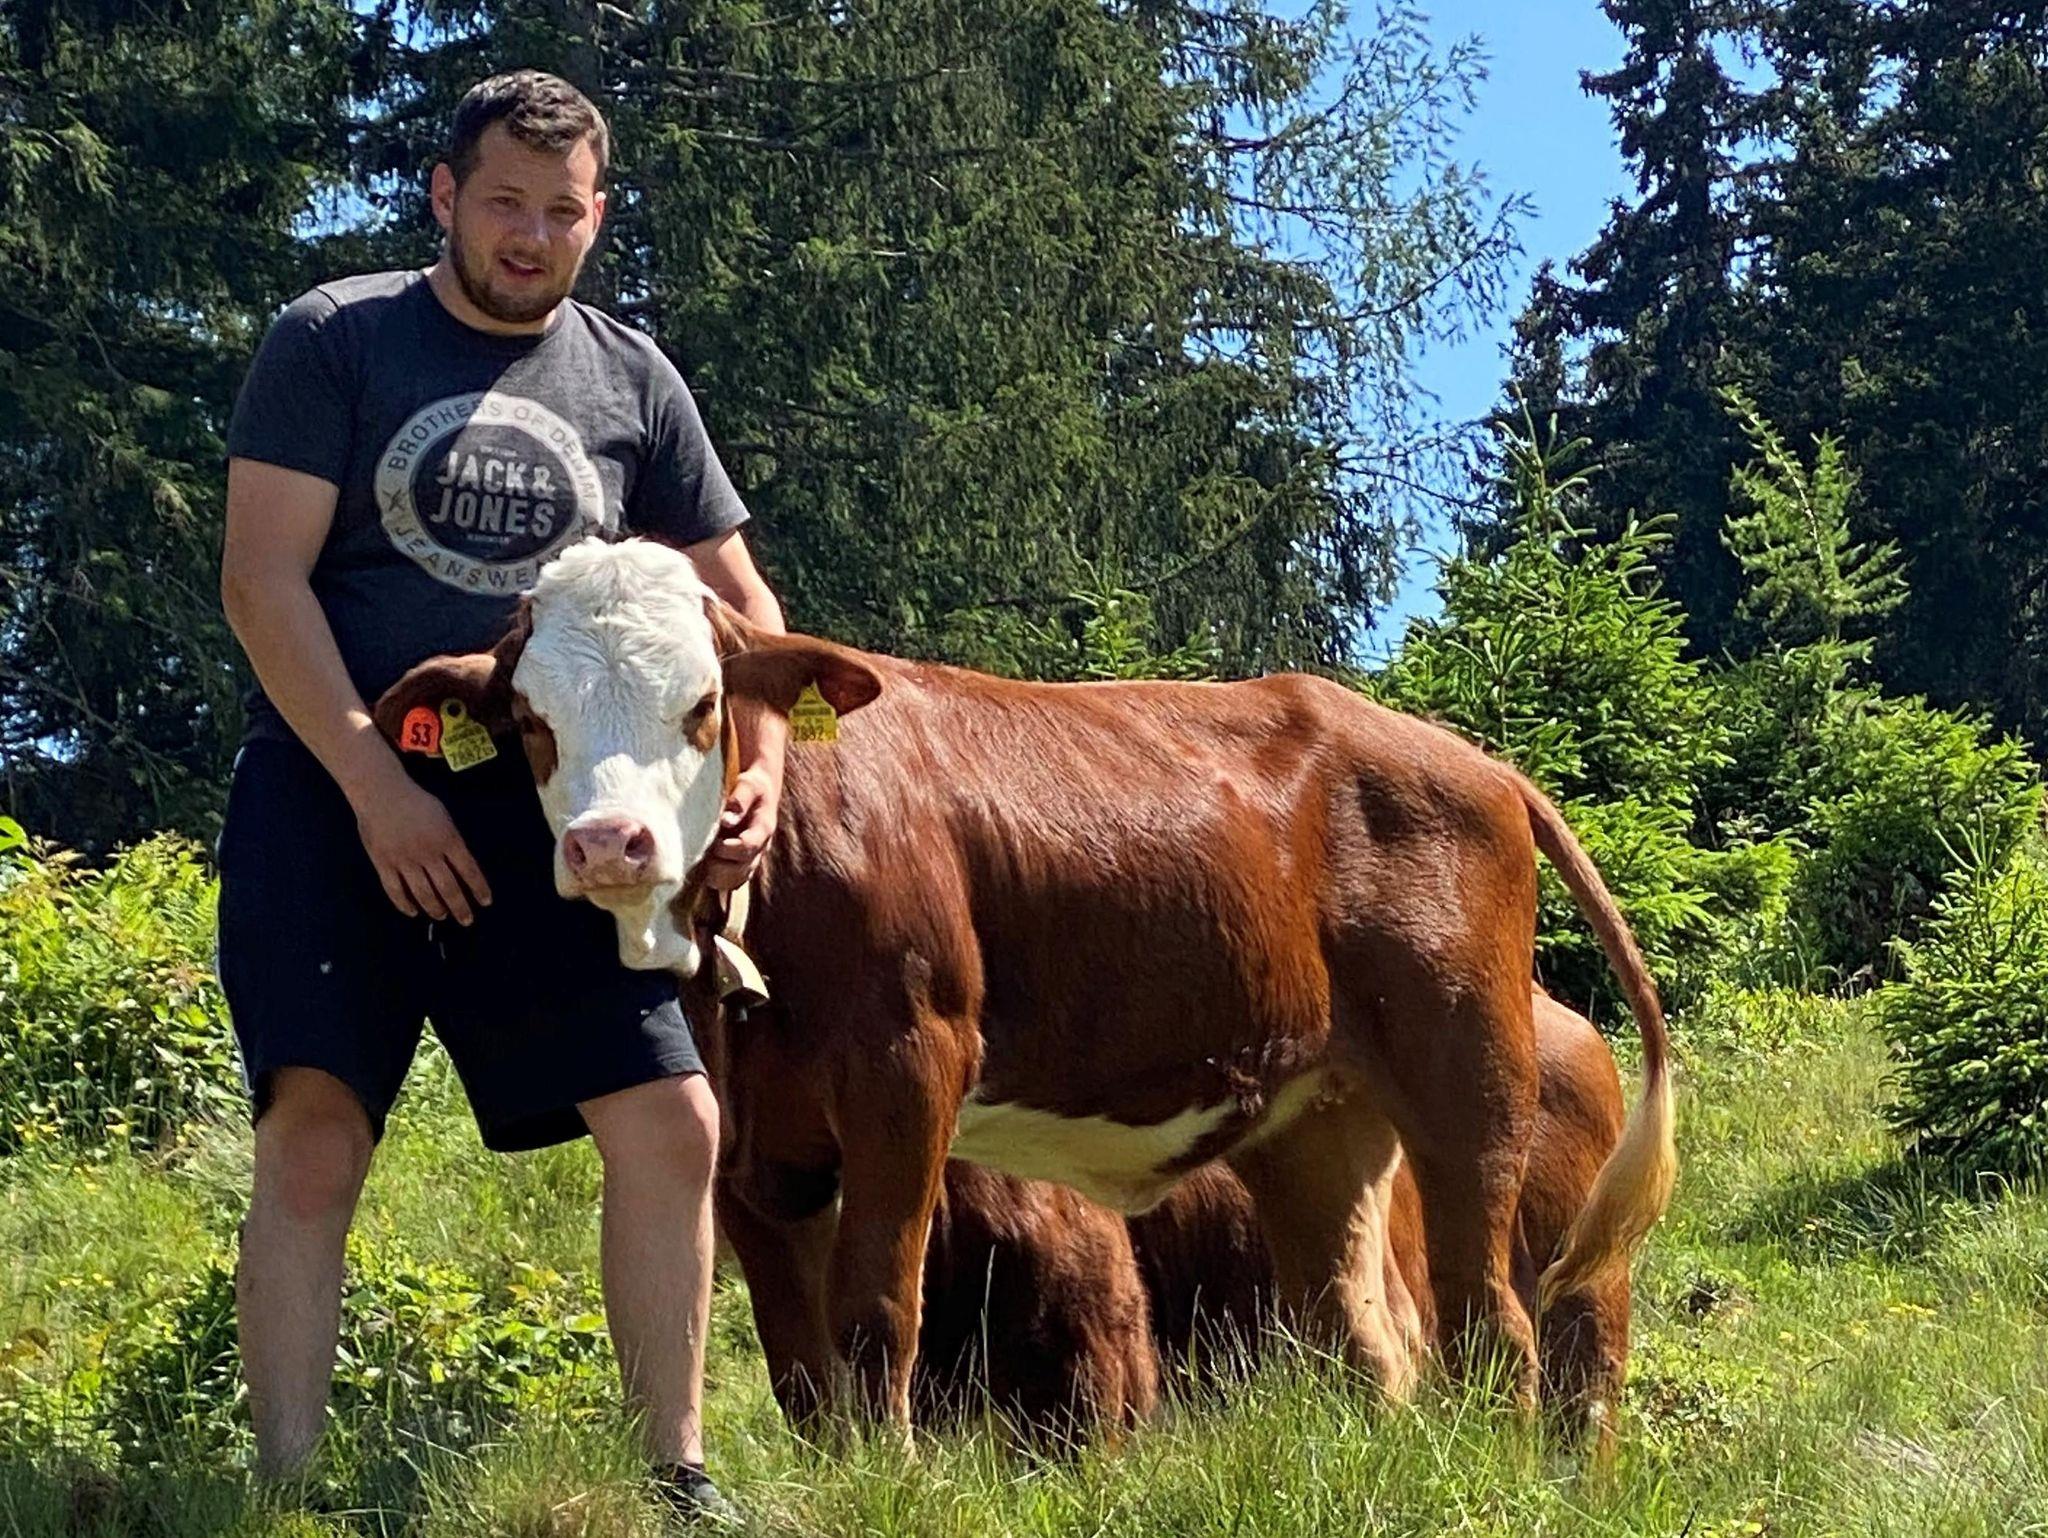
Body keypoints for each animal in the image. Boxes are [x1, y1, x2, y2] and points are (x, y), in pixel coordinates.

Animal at [374, 537, 1675, 1430]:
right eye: (529, 719)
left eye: (701, 703)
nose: (608, 842)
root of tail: (1473, 760)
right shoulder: (746, 1140)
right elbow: (799, 1363)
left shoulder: (908, 1067)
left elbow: (874, 1315)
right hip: (1314, 1119)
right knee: (1366, 1339)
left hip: (1468, 1080)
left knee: (1491, 1321)